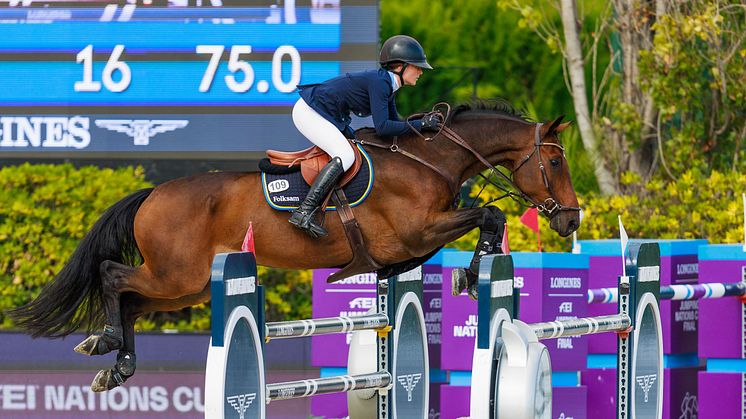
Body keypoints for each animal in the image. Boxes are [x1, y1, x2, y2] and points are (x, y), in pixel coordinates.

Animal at [10, 99, 580, 394]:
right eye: (554, 162)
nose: (571, 218)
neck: (430, 159)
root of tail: (154, 193)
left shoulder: (420, 236)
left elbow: (484, 218)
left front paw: (468, 270)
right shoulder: (418, 230)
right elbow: (490, 214)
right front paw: (471, 272)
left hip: (186, 288)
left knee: (131, 300)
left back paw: (118, 366)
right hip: (176, 275)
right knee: (113, 277)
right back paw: (103, 342)